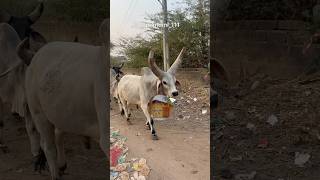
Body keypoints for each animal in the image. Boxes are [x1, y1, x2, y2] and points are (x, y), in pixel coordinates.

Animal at [17, 20, 110, 179]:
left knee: (58, 133)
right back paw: (55, 173)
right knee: (48, 146)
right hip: (38, 113)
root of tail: (36, 56)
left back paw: (61, 164)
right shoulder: (106, 138)